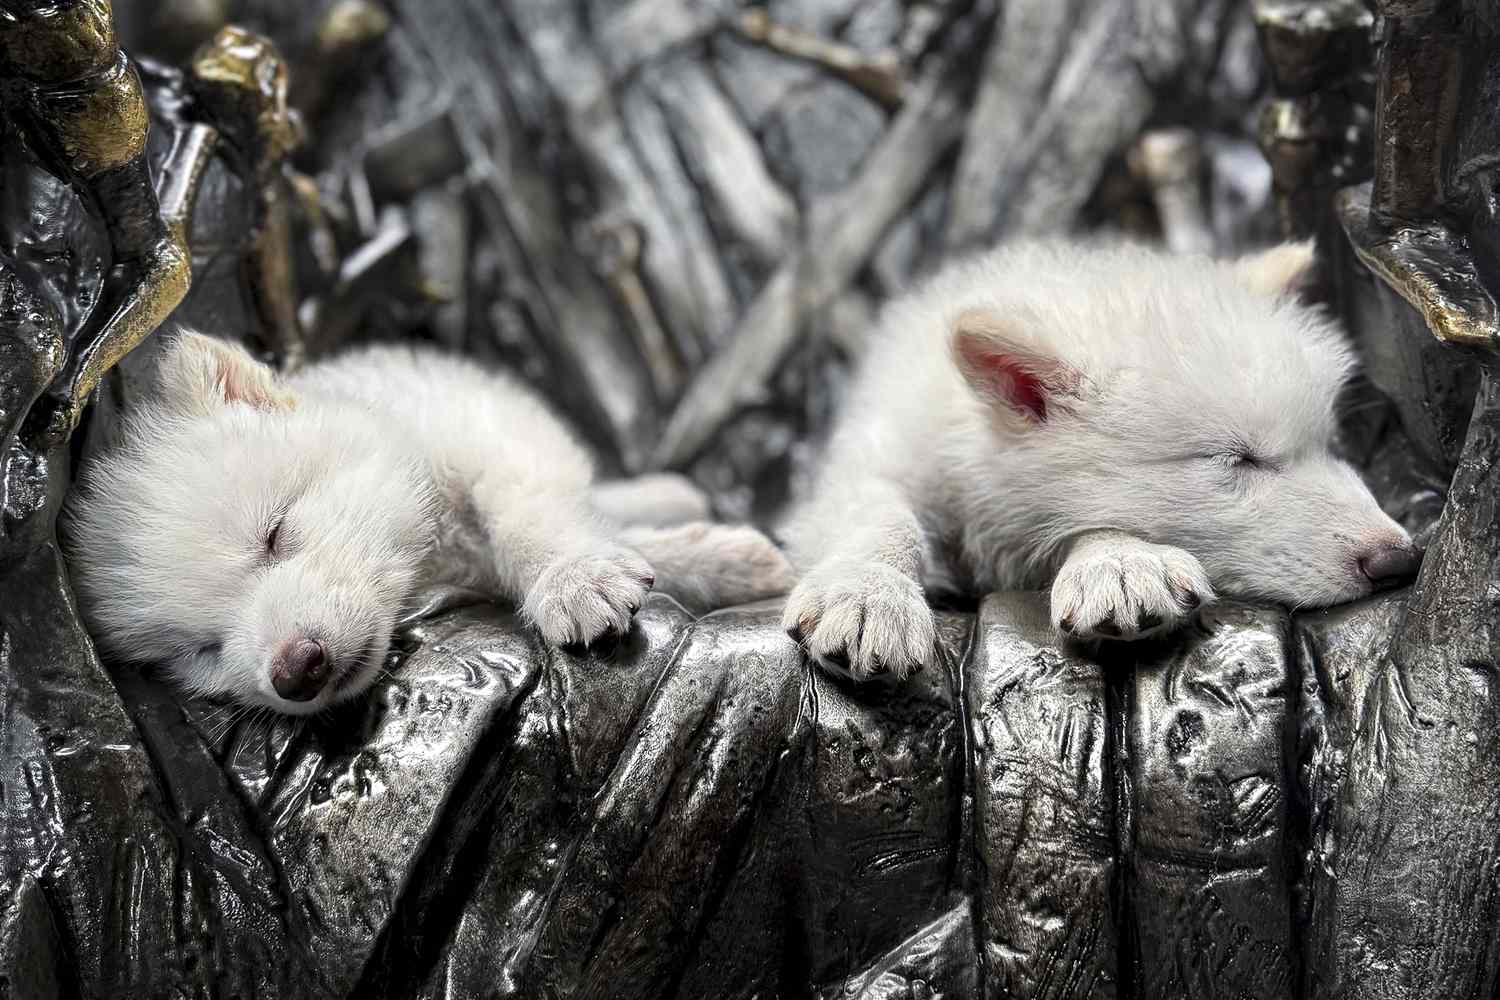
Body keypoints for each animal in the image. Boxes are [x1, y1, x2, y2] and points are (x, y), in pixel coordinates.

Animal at [63, 331, 793, 714]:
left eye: (274, 533)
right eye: (203, 651)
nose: (295, 671)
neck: (431, 554)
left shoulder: (494, 438)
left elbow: (530, 517)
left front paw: (573, 577)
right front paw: (719, 562)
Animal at [780, 238, 1421, 680]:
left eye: (1329, 447)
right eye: (1238, 460)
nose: (1401, 560)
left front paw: (1119, 562)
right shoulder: (875, 457)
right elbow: (881, 514)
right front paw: (867, 593)